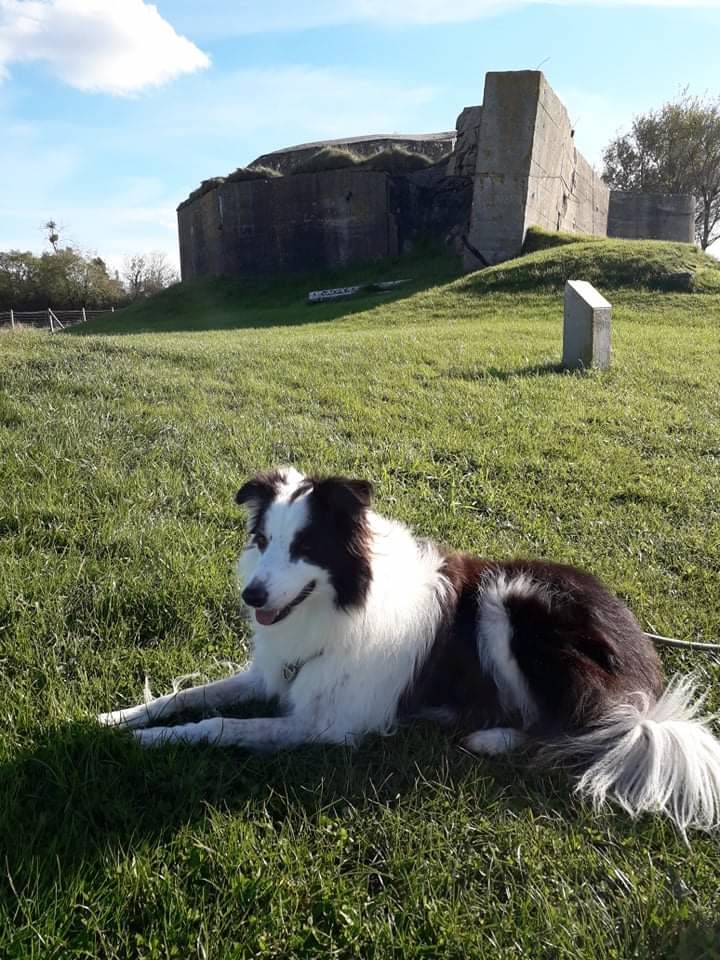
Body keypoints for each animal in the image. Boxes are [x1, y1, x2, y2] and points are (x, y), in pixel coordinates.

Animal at [100, 466, 720, 832]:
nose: (251, 595)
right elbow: (191, 697)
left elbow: (222, 724)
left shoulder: (333, 725)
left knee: (570, 731)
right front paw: (119, 718)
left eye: (305, 547)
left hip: (510, 600)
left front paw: (154, 742)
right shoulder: (277, 673)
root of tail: (643, 682)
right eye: (264, 541)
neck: (342, 606)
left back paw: (490, 737)